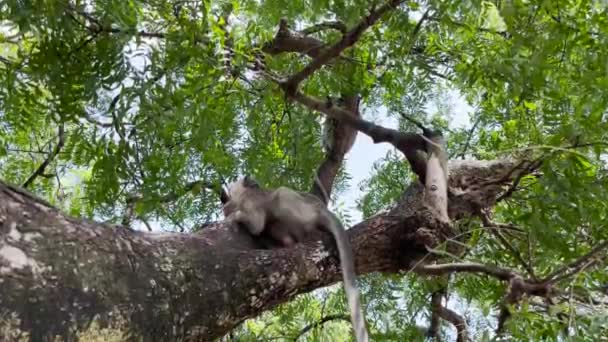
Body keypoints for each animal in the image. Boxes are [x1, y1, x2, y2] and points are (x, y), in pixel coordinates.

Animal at [220, 176, 368, 342]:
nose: (250, 179)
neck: (245, 195)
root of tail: (322, 210)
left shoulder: (251, 201)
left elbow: (255, 224)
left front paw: (234, 216)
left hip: (303, 211)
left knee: (281, 193)